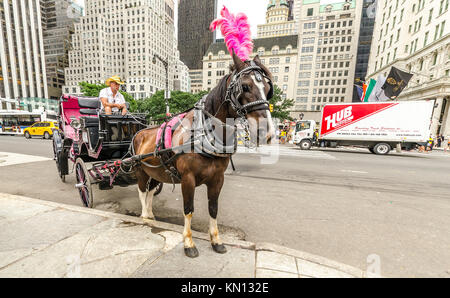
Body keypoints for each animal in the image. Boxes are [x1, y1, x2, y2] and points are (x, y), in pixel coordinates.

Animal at [132, 54, 276, 258]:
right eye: (245, 86)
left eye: (268, 88)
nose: (267, 132)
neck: (203, 134)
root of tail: (141, 131)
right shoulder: (187, 179)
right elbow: (188, 209)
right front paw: (188, 243)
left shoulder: (218, 178)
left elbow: (213, 208)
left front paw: (216, 240)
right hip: (141, 171)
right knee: (142, 192)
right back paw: (144, 216)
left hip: (155, 172)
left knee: (150, 192)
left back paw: (151, 215)